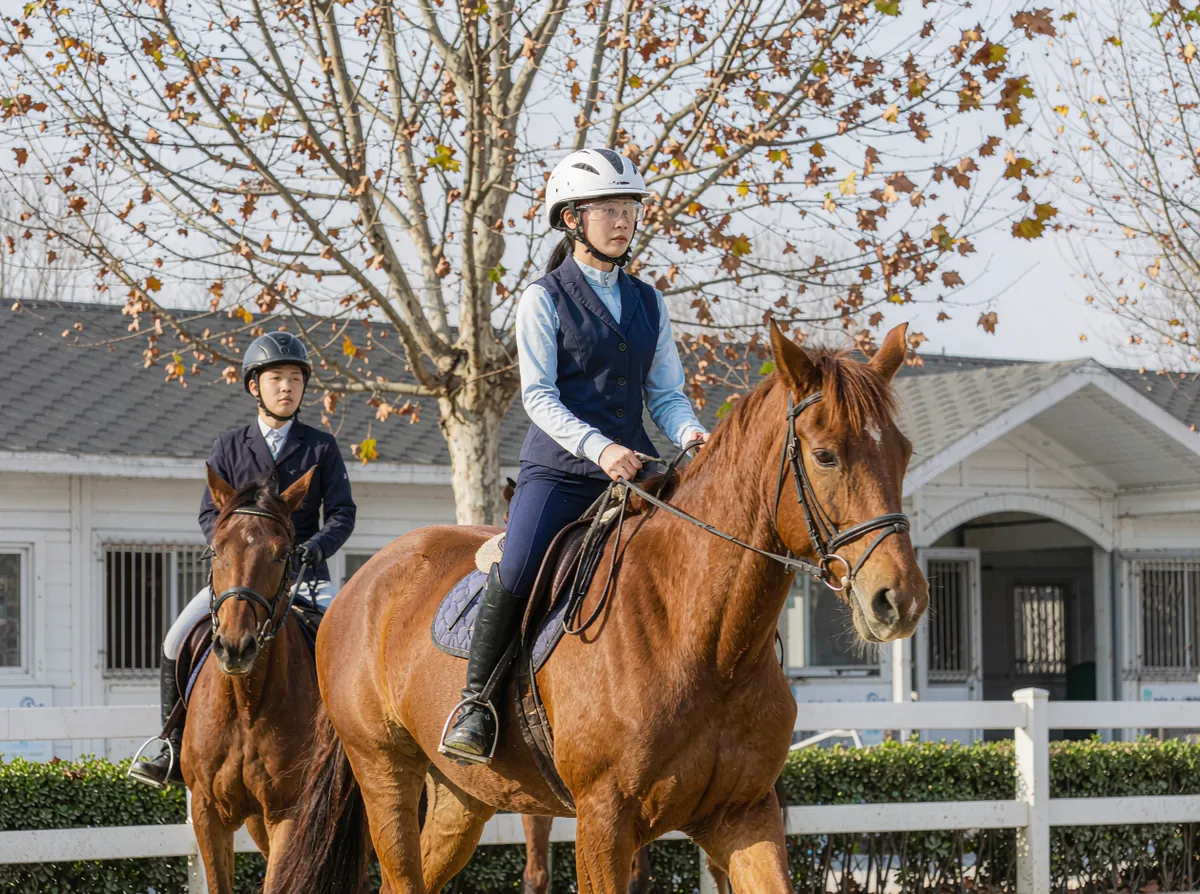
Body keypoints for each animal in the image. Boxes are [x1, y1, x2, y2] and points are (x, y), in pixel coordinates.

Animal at [184, 466, 323, 892]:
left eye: (282, 554)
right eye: (216, 550)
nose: (235, 647)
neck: (245, 704)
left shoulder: (289, 812)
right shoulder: (208, 810)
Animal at [268, 321, 928, 894]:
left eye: (904, 452)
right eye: (826, 456)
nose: (900, 600)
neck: (705, 641)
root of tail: (363, 582)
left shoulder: (744, 817)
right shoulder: (604, 821)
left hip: (462, 796)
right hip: (385, 773)